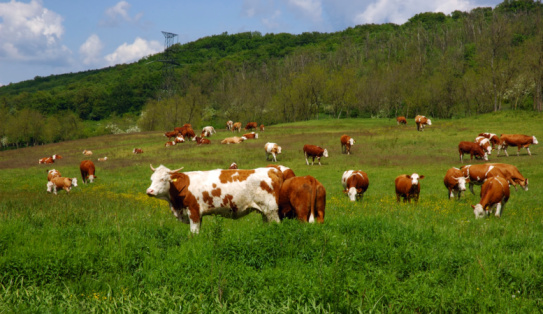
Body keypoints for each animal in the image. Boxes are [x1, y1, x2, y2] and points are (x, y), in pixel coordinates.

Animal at [148, 164, 284, 233]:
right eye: (151, 179)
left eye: (163, 179)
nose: (149, 191)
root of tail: (271, 169)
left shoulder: (193, 211)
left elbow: (193, 233)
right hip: (265, 211)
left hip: (271, 210)